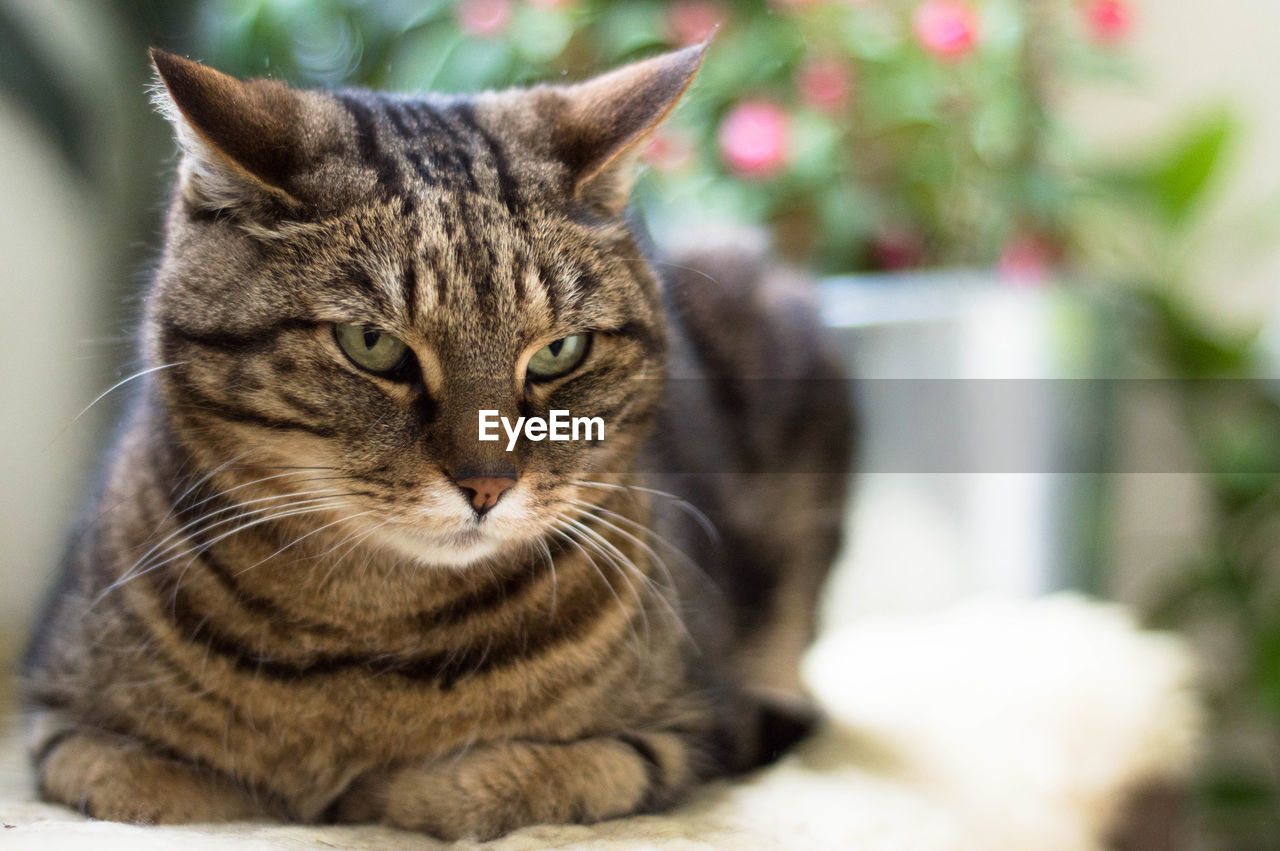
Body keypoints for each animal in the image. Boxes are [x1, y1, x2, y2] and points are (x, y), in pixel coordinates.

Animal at [17, 44, 849, 834]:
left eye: (560, 351)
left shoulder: (678, 731)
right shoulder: (62, 725)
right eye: (371, 344)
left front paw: (379, 788)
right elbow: (163, 787)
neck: (368, 628)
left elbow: (486, 783)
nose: (487, 485)